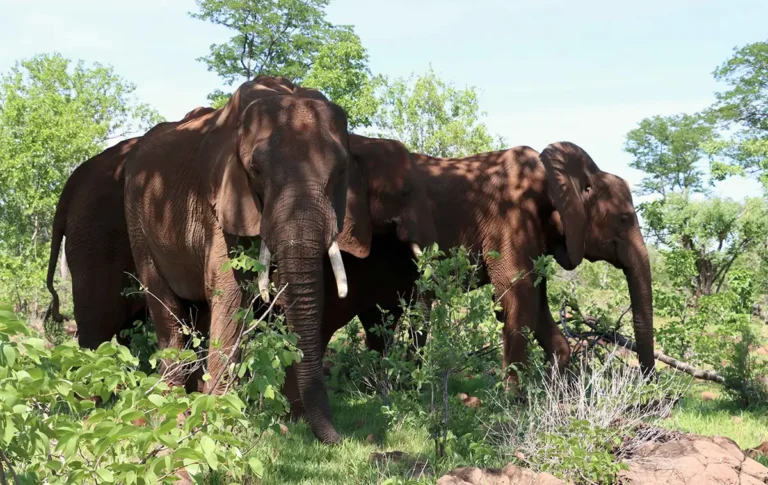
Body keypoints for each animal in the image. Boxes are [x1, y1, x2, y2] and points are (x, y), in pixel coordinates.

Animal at [123, 76, 434, 443]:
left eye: (340, 171)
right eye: (256, 170)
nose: (341, 438)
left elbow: (294, 297)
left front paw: (290, 421)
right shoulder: (223, 202)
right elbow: (231, 293)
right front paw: (222, 423)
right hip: (136, 217)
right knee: (166, 307)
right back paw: (168, 408)